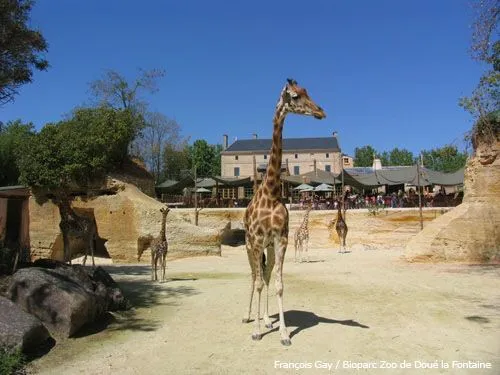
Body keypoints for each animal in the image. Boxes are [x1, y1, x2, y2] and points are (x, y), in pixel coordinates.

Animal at [243, 78, 328, 346]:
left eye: (306, 91)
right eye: (295, 96)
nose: (321, 111)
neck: (271, 192)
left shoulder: (281, 239)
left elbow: (278, 283)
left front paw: (282, 332)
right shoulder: (257, 240)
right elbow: (259, 282)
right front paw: (256, 331)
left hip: (268, 247)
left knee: (266, 274)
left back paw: (267, 319)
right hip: (249, 245)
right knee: (254, 276)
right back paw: (248, 317)